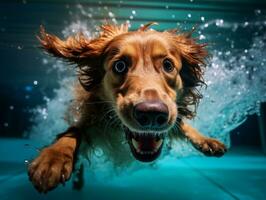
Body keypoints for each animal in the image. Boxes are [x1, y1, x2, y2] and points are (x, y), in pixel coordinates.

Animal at [27, 22, 227, 193]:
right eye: (120, 65)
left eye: (168, 65)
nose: (152, 113)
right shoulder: (92, 120)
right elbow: (73, 132)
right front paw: (53, 158)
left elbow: (182, 125)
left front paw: (206, 140)